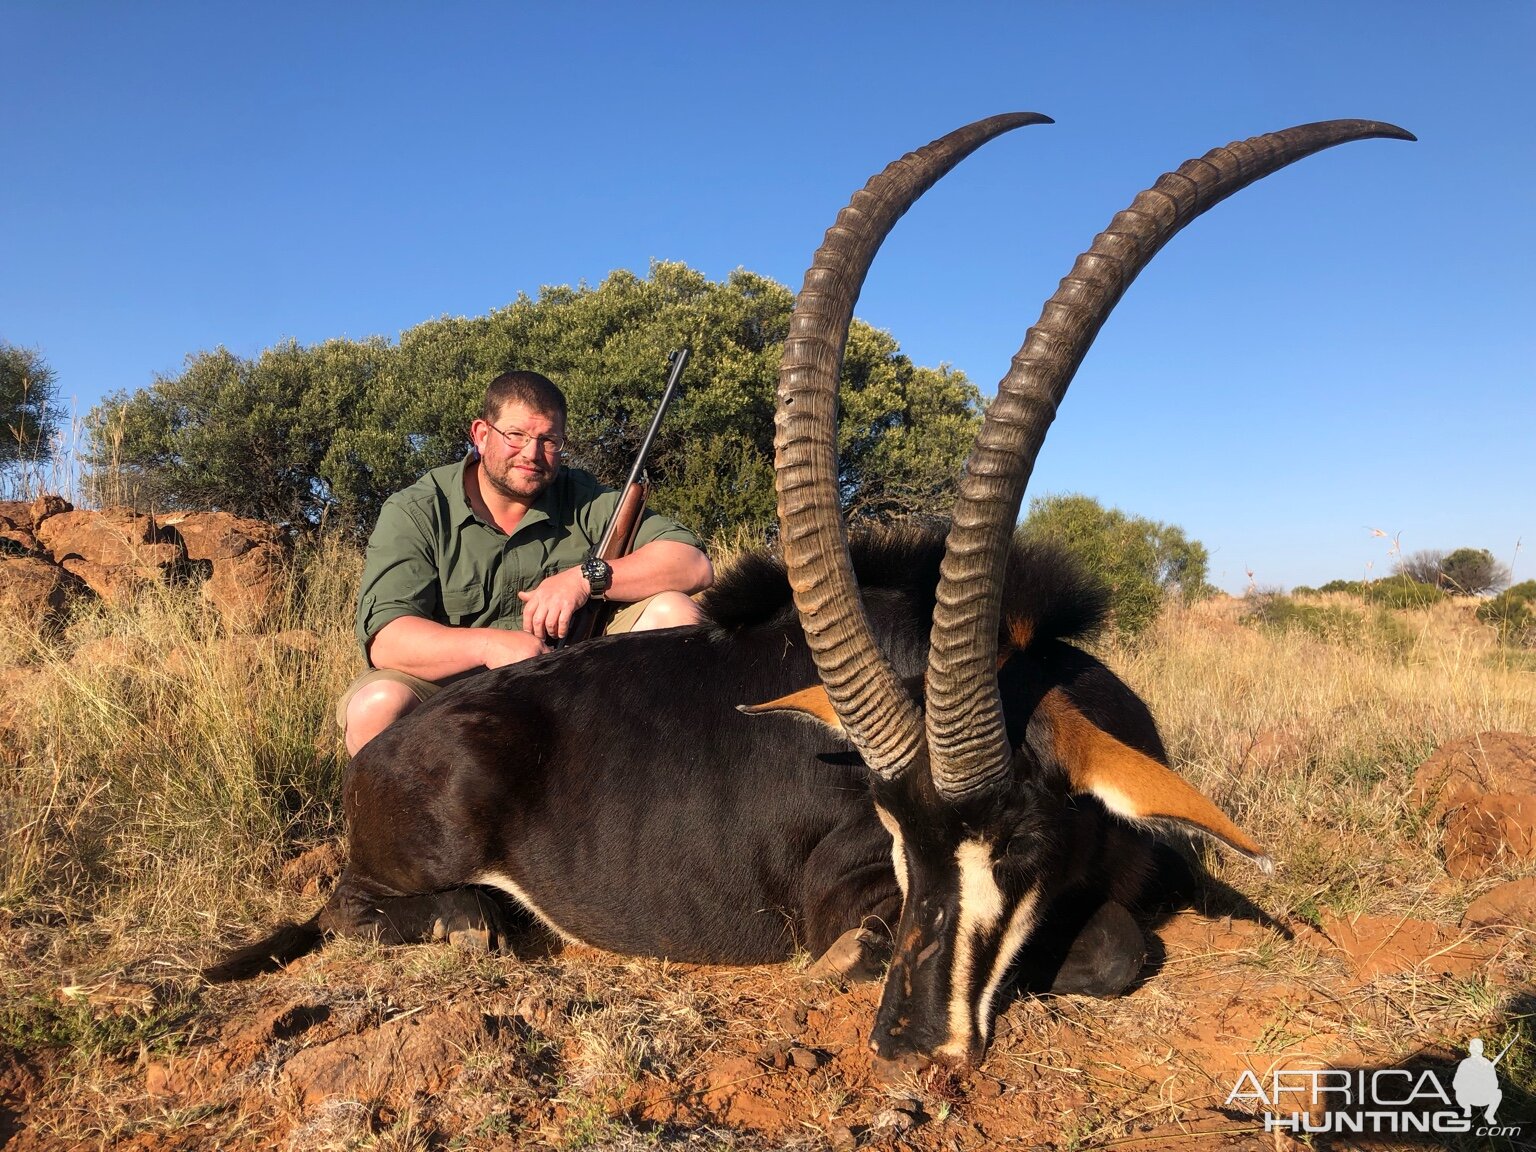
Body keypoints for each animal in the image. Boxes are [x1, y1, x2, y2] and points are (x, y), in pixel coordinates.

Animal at [207, 115, 1413, 1062]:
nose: (912, 1040)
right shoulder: (839, 886)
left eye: (1021, 842)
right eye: (893, 831)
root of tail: (389, 742)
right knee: (378, 908)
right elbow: (1115, 946)